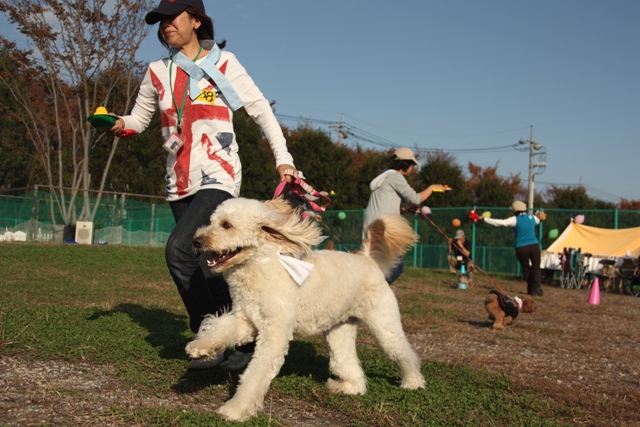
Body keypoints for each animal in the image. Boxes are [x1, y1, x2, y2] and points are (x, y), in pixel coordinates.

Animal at [185, 197, 424, 422]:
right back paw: (346, 387)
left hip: (385, 326)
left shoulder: (274, 334)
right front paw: (200, 348)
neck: (261, 265)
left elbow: (254, 375)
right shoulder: (247, 321)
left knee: (405, 354)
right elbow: (221, 330)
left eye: (227, 225)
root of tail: (367, 259)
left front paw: (235, 410)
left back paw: (413, 383)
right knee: (350, 367)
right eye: (211, 222)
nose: (196, 241)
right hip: (340, 332)